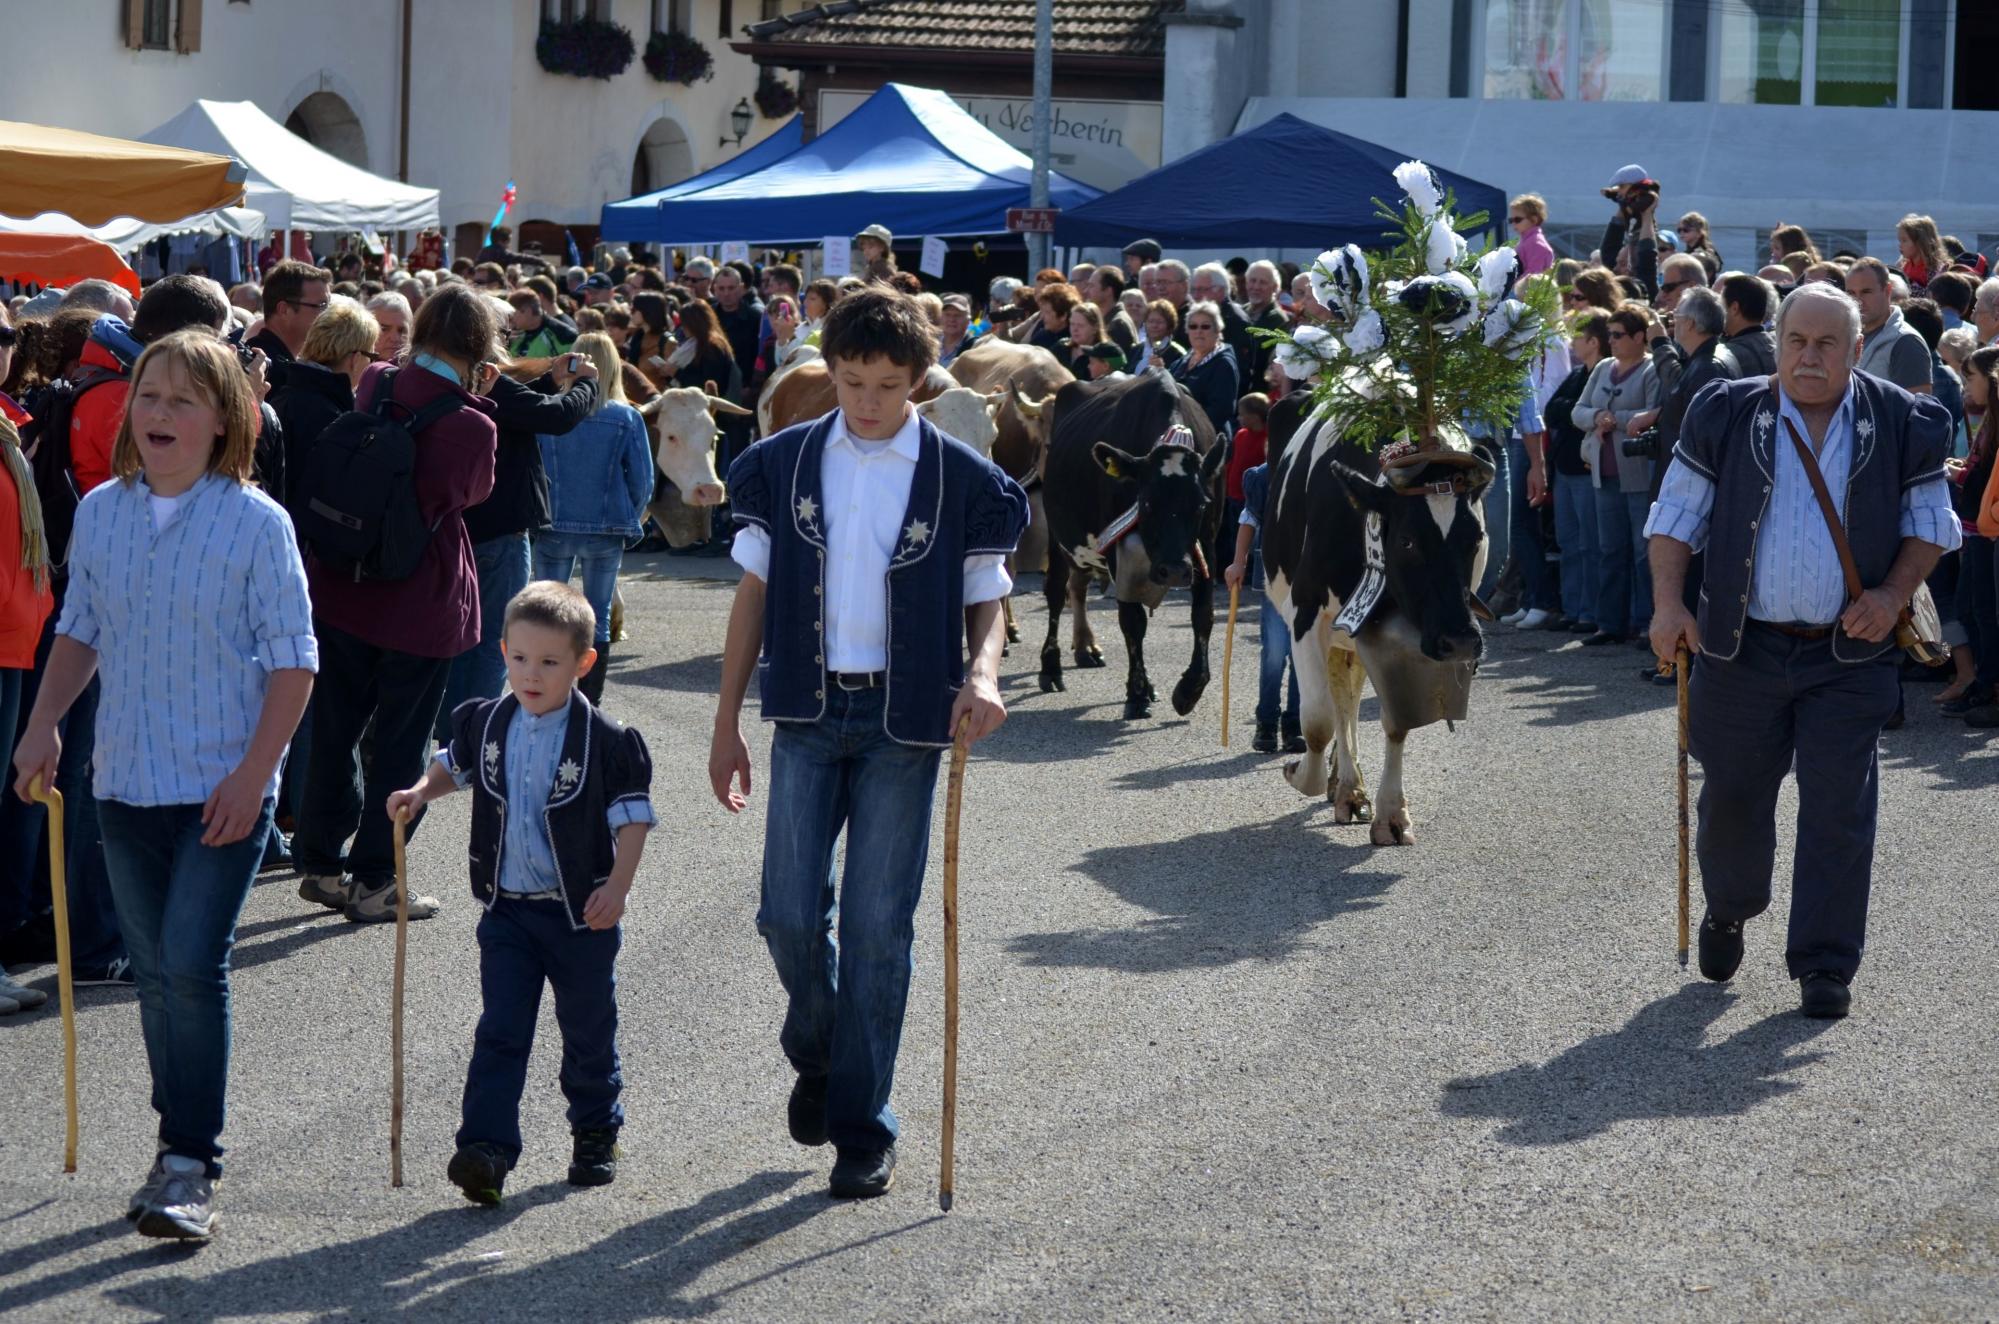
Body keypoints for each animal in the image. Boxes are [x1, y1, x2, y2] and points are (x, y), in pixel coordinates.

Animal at [1039, 374, 1223, 720]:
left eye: (1201, 505)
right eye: (1147, 503)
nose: (1174, 571)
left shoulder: (1206, 546)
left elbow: (1203, 614)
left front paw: (1188, 690)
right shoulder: (1117, 552)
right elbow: (1132, 622)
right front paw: (1136, 695)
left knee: (1078, 585)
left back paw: (1087, 650)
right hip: (1056, 535)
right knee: (1056, 592)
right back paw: (1051, 669)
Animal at [1271, 394, 1495, 844]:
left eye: (1476, 537)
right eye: (1407, 540)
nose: (1461, 640)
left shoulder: (1399, 641)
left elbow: (1395, 723)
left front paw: (1391, 813)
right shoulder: (1304, 615)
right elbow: (1317, 719)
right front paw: (1299, 773)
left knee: (1348, 700)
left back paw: (1347, 785)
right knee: (1338, 704)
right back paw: (1343, 785)